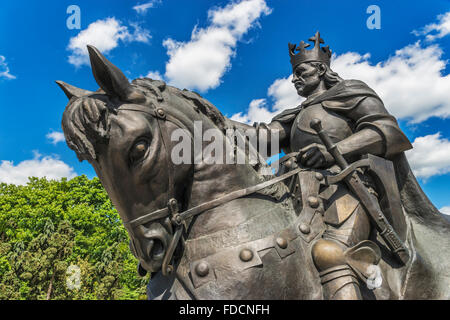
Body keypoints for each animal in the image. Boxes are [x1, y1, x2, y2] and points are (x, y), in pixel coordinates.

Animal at [58, 45, 450, 300]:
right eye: (87, 159)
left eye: (139, 147)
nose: (150, 249)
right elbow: (269, 132)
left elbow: (384, 129)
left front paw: (319, 152)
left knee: (331, 253)